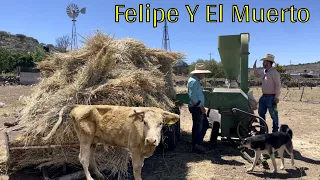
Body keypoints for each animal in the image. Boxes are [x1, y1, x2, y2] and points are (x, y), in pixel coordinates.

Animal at [42, 105, 180, 180]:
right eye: (144, 122)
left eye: (160, 123)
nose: (151, 140)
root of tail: (79, 106)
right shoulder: (134, 149)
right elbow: (136, 168)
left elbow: (141, 166)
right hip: (85, 139)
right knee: (83, 158)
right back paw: (90, 178)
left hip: (93, 142)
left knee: (91, 158)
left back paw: (100, 175)